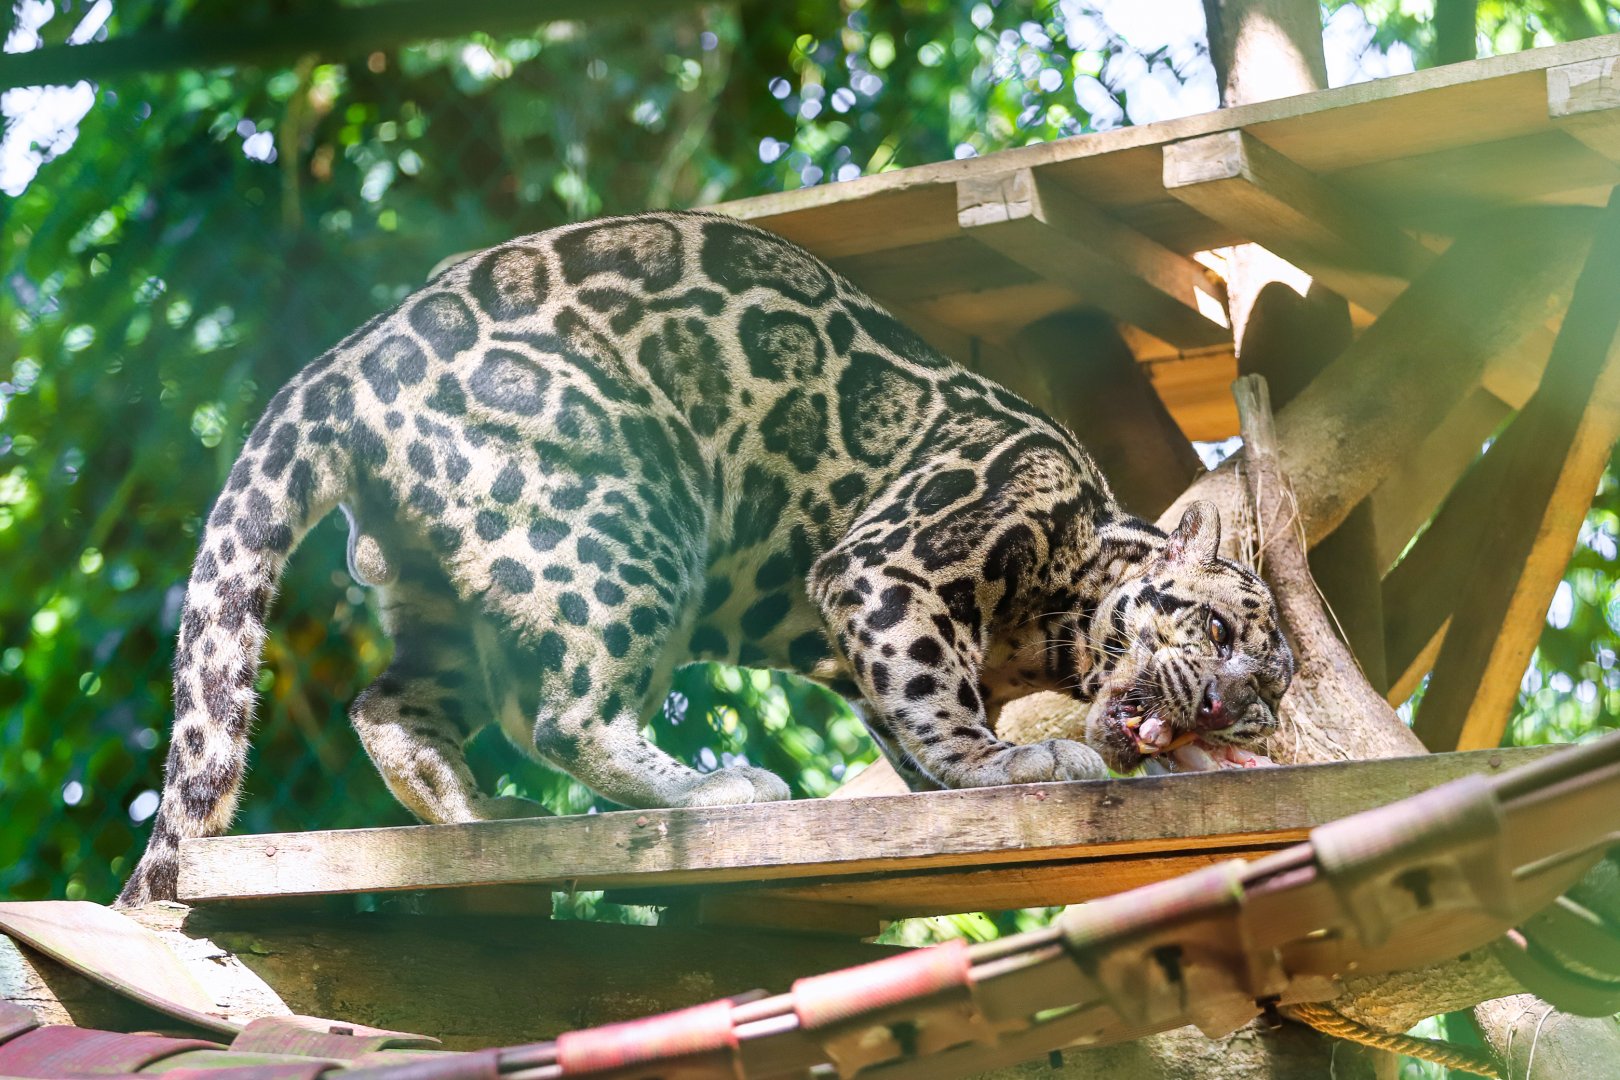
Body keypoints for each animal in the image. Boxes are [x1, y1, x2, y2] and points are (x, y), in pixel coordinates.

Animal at [116, 210, 1294, 907]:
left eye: (1270, 696)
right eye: (1217, 629)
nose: (1229, 707)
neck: (1057, 614)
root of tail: (355, 351)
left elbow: (905, 716)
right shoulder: (893, 563)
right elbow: (930, 691)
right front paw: (1000, 766)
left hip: (444, 585)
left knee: (392, 704)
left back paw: (481, 816)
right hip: (629, 519)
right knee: (566, 714)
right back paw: (718, 791)